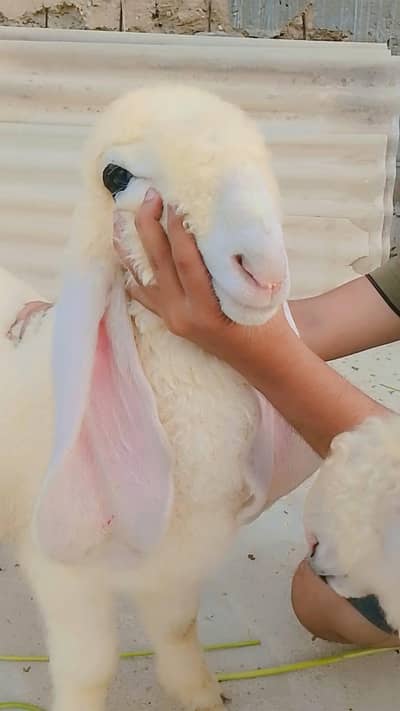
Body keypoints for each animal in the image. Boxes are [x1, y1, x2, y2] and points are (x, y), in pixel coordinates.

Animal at [0, 83, 320, 710]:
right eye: (115, 177)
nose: (265, 271)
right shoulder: (66, 575)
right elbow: (89, 669)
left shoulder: (177, 564)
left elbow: (177, 629)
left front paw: (199, 695)